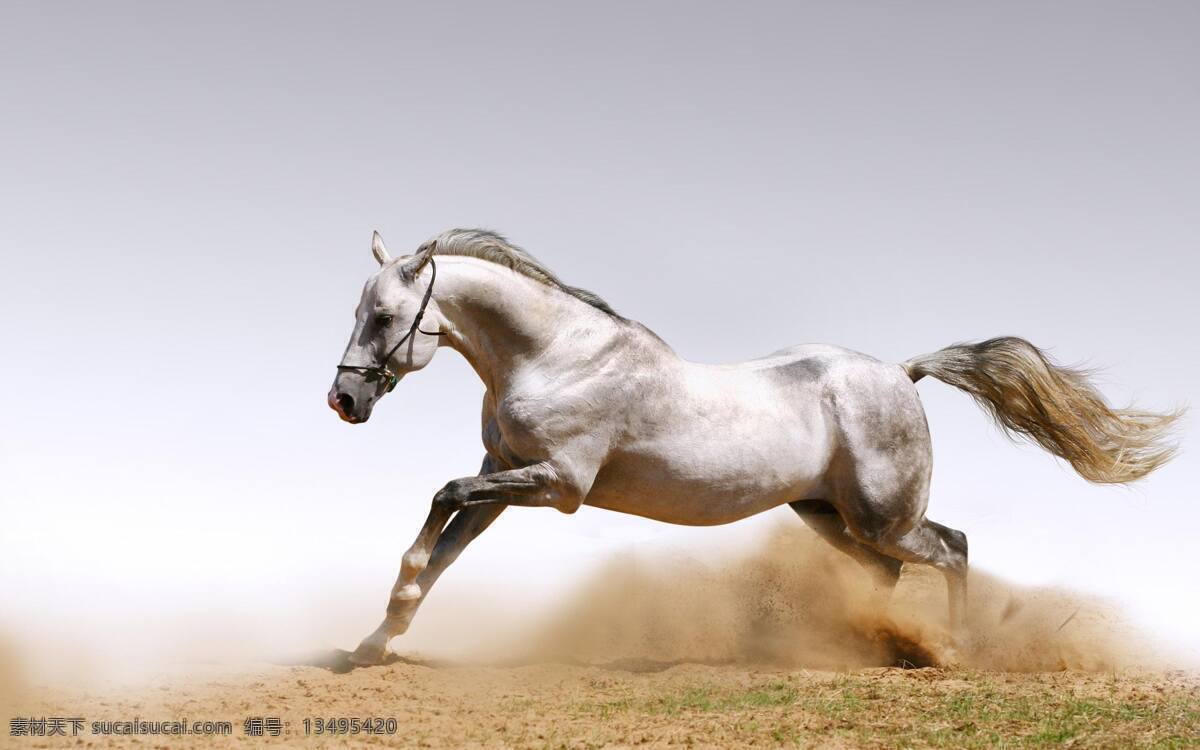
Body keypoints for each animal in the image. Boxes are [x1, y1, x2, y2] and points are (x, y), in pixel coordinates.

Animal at [328, 226, 1180, 662]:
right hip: (827, 515)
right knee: (889, 573)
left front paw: (384, 621)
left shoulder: (556, 484)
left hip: (885, 516)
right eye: (361, 311)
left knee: (954, 548)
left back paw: (954, 650)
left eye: (384, 316)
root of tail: (902, 373)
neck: (556, 355)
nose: (344, 399)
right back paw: (867, 645)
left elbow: (440, 501)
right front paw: (376, 640)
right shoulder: (504, 473)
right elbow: (444, 548)